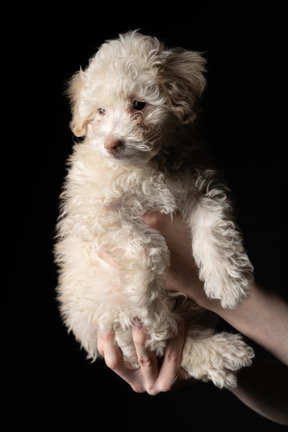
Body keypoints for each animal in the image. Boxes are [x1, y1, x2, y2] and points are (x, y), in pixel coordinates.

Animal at [55, 31, 254, 388]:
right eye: (100, 111)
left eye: (139, 104)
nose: (112, 144)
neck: (146, 167)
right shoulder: (95, 211)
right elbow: (144, 246)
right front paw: (147, 302)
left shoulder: (202, 187)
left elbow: (215, 227)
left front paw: (227, 283)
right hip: (112, 316)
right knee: (167, 341)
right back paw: (174, 328)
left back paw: (222, 351)